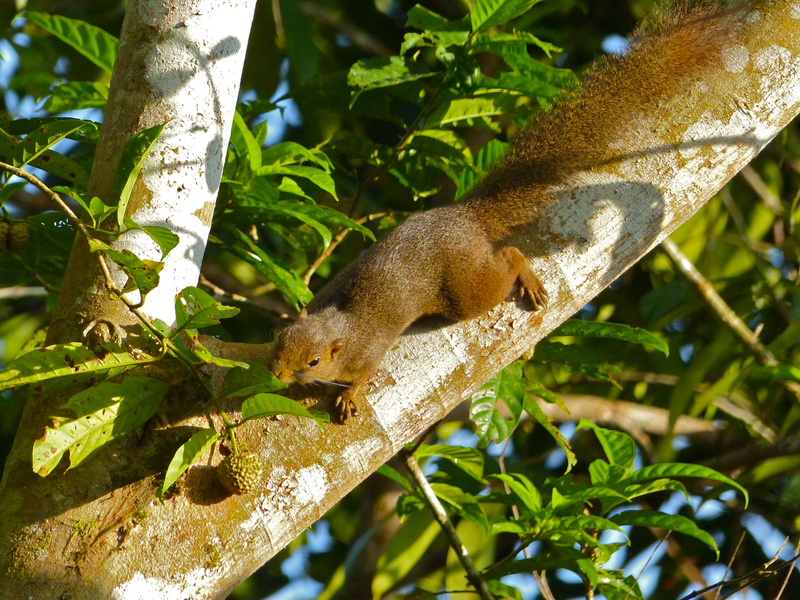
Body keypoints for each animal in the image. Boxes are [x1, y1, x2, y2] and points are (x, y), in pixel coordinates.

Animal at [270, 2, 752, 420]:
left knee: (505, 261)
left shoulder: (368, 351)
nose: (276, 373)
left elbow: (363, 375)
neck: (339, 323)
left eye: (313, 362)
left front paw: (348, 395)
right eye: (278, 340)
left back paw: (527, 275)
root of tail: (465, 215)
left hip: (463, 289)